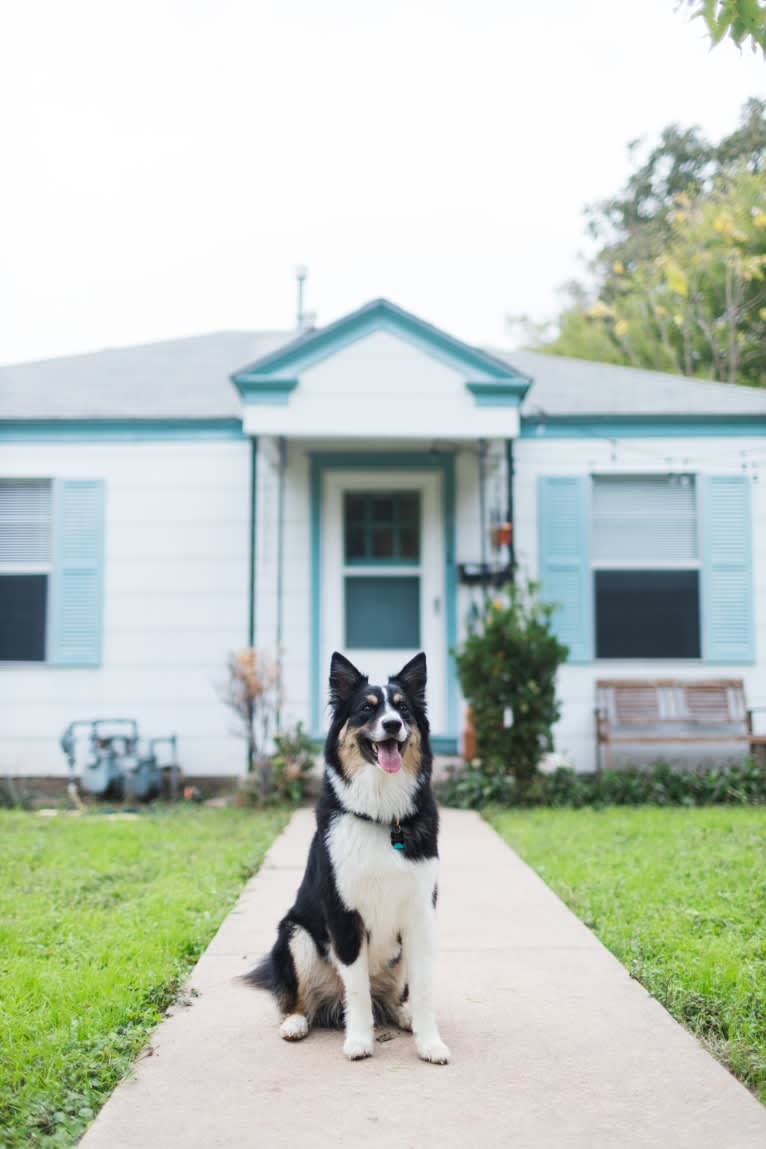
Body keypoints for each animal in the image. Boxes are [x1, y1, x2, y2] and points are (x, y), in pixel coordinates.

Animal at [245, 652, 450, 1061]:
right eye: (366, 709)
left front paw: (429, 1042)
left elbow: (423, 989)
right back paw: (295, 1022)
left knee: (391, 998)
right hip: (295, 934)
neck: (383, 816)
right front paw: (358, 1041)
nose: (392, 724)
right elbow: (356, 990)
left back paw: (402, 1014)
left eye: (403, 708)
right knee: (300, 998)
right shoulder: (344, 915)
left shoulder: (421, 914)